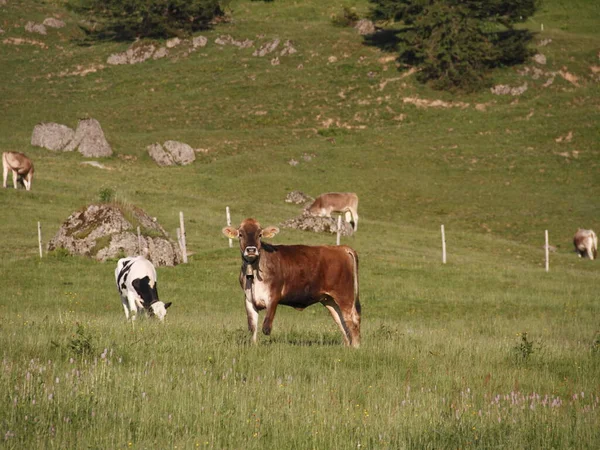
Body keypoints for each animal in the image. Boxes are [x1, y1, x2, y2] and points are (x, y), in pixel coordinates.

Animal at [221, 218, 358, 348]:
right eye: (240, 234)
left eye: (259, 234)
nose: (251, 250)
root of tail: (341, 248)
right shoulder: (249, 299)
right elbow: (252, 327)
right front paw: (254, 346)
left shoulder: (273, 296)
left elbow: (266, 327)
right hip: (329, 299)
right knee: (341, 320)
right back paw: (347, 346)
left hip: (345, 295)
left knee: (353, 319)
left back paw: (356, 347)